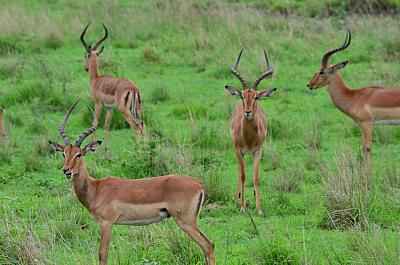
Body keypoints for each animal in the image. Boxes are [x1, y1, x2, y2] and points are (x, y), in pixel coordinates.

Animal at [49, 100, 216, 264]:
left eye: (79, 154)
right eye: (64, 153)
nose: (66, 170)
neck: (95, 189)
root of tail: (199, 184)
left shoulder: (107, 223)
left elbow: (103, 254)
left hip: (186, 221)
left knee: (209, 246)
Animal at [227, 50, 276, 214]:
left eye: (256, 96)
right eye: (243, 96)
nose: (247, 112)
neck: (248, 138)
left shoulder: (258, 151)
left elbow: (256, 178)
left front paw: (259, 209)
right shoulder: (238, 150)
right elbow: (243, 176)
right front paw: (242, 207)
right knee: (239, 171)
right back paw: (237, 199)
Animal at [308, 29, 400, 169]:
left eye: (321, 72)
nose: (309, 85)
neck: (353, 96)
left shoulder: (367, 124)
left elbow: (367, 148)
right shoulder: (362, 125)